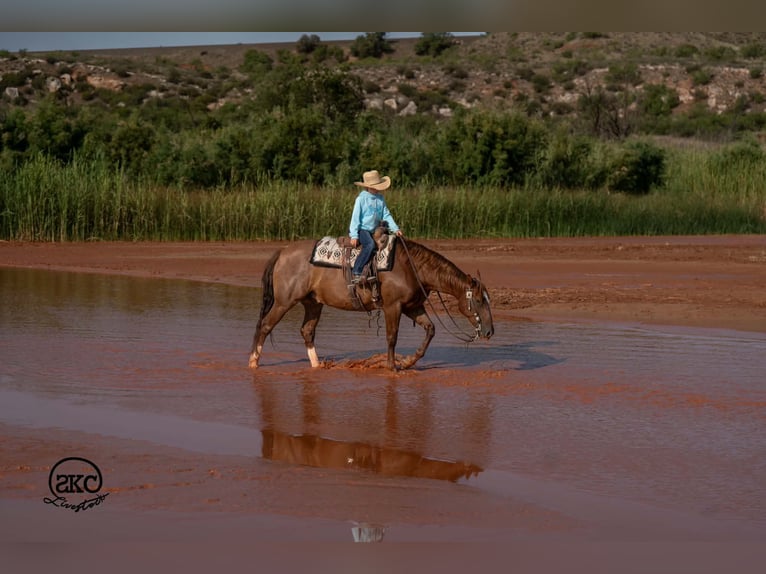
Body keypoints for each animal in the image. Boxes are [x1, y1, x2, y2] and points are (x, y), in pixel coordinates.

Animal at [248, 236, 494, 370]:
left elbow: (430, 329)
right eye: (478, 300)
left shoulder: (412, 307)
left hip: (313, 303)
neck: (412, 267)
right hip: (284, 302)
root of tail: (283, 252)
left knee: (307, 331)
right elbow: (392, 337)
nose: (490, 331)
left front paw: (408, 362)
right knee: (265, 325)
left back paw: (317, 366)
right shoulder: (393, 307)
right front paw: (392, 366)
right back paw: (253, 362)